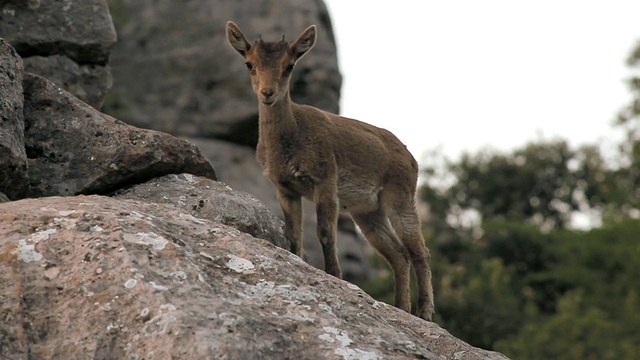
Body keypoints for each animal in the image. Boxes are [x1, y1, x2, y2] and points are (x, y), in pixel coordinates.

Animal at [226, 21, 436, 320]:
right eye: (249, 63)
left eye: (289, 65)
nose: (268, 93)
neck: (292, 137)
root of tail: (412, 159)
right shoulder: (285, 188)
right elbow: (293, 234)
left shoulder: (325, 180)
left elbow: (325, 232)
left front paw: (335, 276)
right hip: (367, 211)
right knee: (398, 253)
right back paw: (401, 307)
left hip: (401, 197)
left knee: (419, 250)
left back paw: (424, 311)